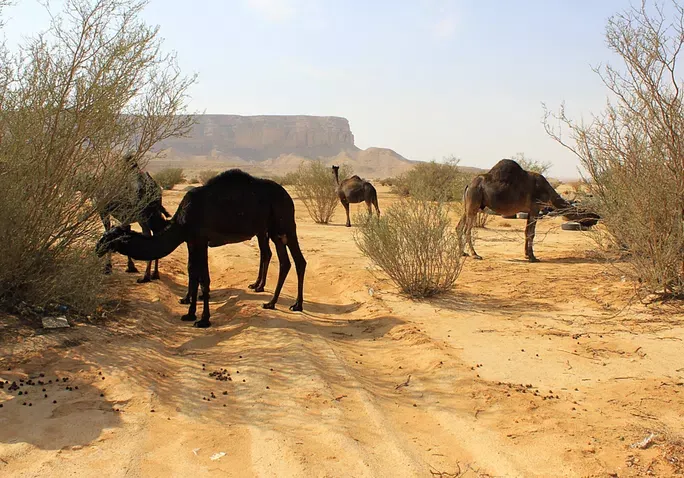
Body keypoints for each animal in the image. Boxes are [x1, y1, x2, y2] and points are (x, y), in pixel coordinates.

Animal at [97, 168, 308, 328]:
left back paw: (295, 305)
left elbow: (204, 278)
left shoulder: (200, 239)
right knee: (284, 261)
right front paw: (189, 313)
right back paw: (272, 302)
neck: (181, 222)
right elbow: (193, 272)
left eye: (110, 238)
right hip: (273, 231)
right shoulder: (192, 241)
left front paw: (203, 320)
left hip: (285, 223)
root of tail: (287, 195)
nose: (97, 248)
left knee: (298, 260)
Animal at [460, 160, 600, 262]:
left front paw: (527, 255)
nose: (598, 218)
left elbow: (526, 231)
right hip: (474, 201)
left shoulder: (529, 210)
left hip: (469, 205)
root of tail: (469, 185)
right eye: (589, 214)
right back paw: (475, 254)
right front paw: (533, 257)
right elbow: (531, 233)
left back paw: (463, 253)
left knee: (459, 226)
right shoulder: (535, 208)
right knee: (467, 229)